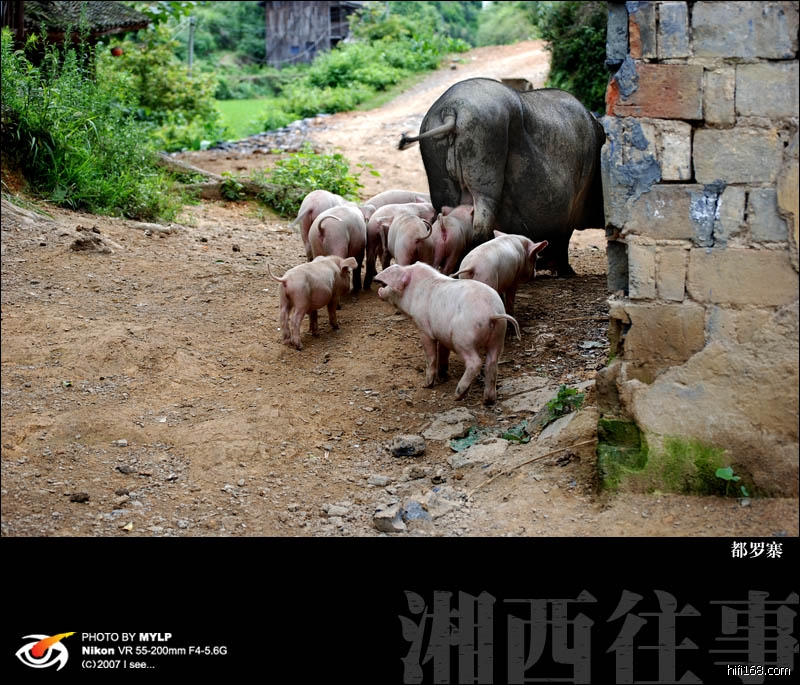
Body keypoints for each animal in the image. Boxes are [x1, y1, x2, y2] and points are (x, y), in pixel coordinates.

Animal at [374, 262, 520, 404]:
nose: (379, 290)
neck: (414, 290)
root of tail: (492, 312)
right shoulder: (442, 334)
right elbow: (443, 352)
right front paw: (442, 376)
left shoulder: (424, 329)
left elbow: (431, 356)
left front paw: (427, 384)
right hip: (498, 337)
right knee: (492, 364)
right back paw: (488, 400)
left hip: (463, 338)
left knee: (475, 362)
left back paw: (458, 394)